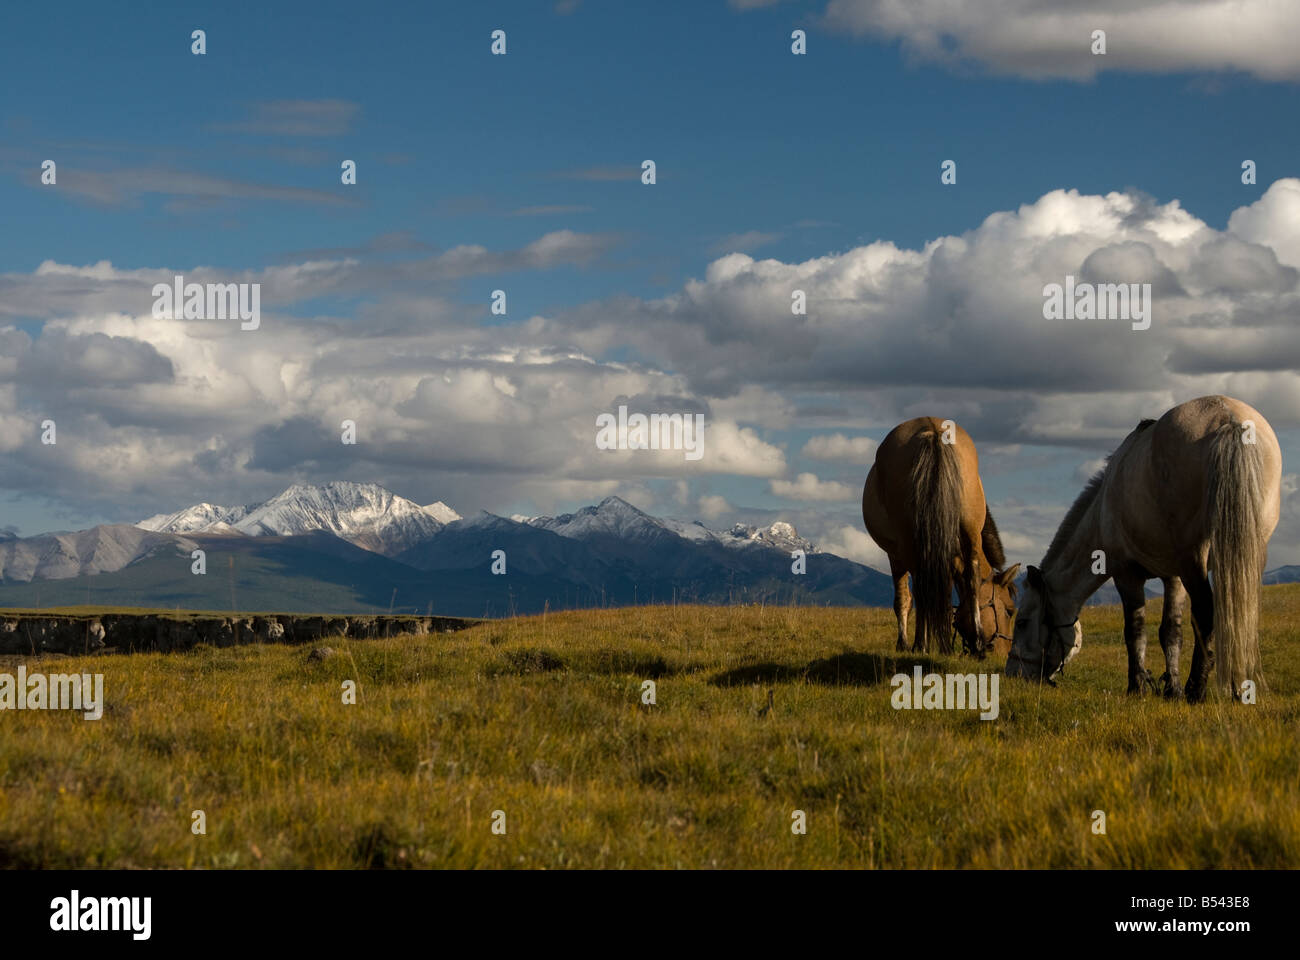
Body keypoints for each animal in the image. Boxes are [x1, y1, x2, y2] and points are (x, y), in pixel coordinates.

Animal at [862, 417, 1020, 657]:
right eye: (1010, 611)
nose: (1005, 652)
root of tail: (934, 431)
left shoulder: (896, 555)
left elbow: (904, 599)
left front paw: (907, 643)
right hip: (969, 530)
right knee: (970, 576)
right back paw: (973, 642)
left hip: (912, 544)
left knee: (921, 590)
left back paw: (922, 644)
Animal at [1005, 395, 1281, 703]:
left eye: (1022, 622)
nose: (1012, 673)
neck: (1102, 510)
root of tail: (1228, 419)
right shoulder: (1174, 577)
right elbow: (1171, 632)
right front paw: (1171, 688)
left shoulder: (1127, 574)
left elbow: (1134, 631)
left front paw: (1137, 686)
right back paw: (1234, 687)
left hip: (1194, 560)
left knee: (1206, 612)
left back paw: (1196, 689)